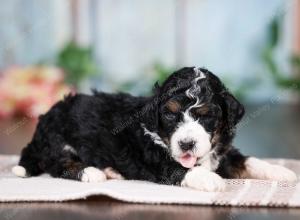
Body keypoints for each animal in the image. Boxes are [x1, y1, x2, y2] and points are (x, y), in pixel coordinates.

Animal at [12, 66, 298, 191]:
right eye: (170, 115)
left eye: (207, 116)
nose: (186, 144)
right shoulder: (154, 160)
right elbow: (180, 169)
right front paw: (210, 179)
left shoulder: (222, 152)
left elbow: (249, 160)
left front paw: (282, 172)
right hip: (58, 140)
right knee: (57, 163)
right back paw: (93, 172)